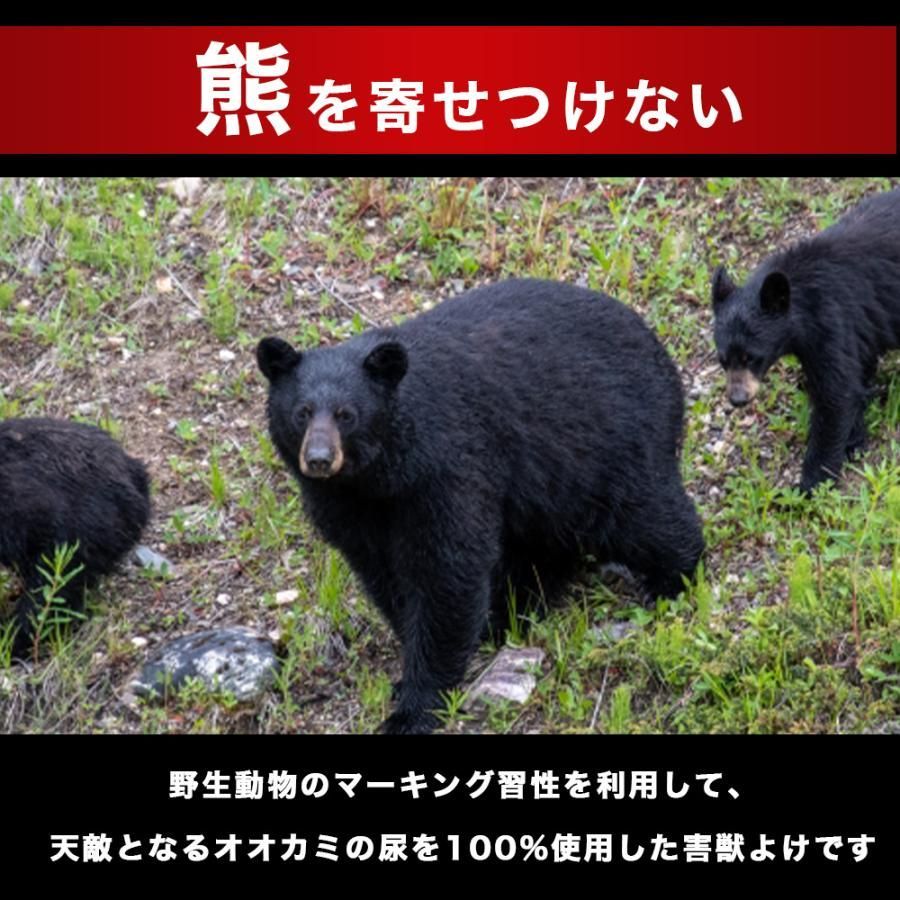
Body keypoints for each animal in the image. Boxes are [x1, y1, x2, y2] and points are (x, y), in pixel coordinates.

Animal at [257, 278, 704, 734]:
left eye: (346, 414)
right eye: (302, 412)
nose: (319, 459)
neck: (374, 478)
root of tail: (658, 348)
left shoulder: (445, 468)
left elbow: (446, 571)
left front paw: (414, 707)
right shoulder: (346, 507)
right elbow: (385, 575)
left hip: (604, 443)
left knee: (641, 515)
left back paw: (670, 579)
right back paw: (514, 609)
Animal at [711, 187, 900, 493]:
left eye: (752, 357)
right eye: (723, 360)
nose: (738, 398)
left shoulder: (832, 320)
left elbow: (836, 394)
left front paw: (811, 483)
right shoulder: (855, 330)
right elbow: (856, 370)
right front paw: (854, 439)